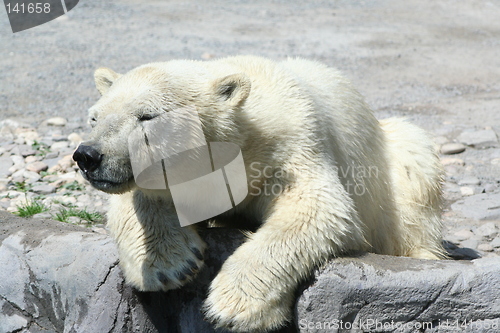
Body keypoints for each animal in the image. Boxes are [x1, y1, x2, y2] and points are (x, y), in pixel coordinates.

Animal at [72, 55, 444, 330]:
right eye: (95, 118)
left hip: (389, 158)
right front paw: (170, 263)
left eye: (146, 116)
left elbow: (317, 206)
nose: (88, 155)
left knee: (413, 163)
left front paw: (232, 304)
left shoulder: (292, 146)